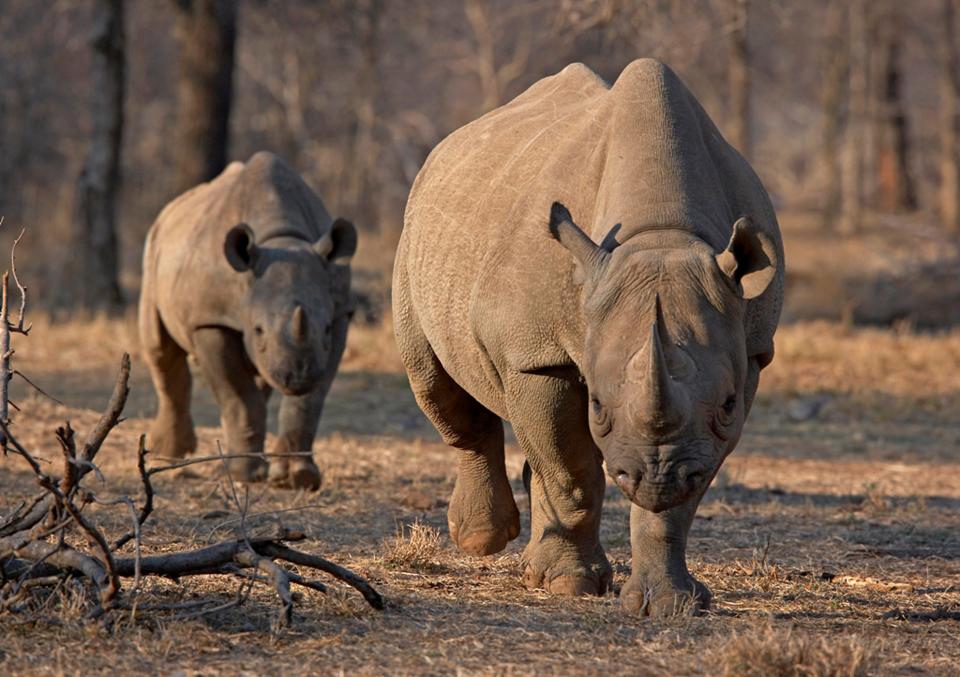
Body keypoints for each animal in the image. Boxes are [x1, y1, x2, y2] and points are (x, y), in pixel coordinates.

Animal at [139, 151, 356, 488]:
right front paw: (244, 476)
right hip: (153, 249)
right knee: (160, 349)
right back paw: (169, 455)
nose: (297, 377)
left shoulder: (340, 311)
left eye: (326, 329)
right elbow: (238, 397)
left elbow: (309, 402)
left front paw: (298, 478)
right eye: (258, 330)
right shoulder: (211, 319)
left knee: (259, 378)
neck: (282, 240)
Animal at [394, 60, 784, 616]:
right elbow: (573, 469)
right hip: (417, 241)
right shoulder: (538, 354)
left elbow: (682, 494)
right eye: (597, 405)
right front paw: (569, 585)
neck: (660, 233)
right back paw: (483, 540)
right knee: (436, 381)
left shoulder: (747, 354)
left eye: (729, 405)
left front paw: (669, 604)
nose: (655, 477)